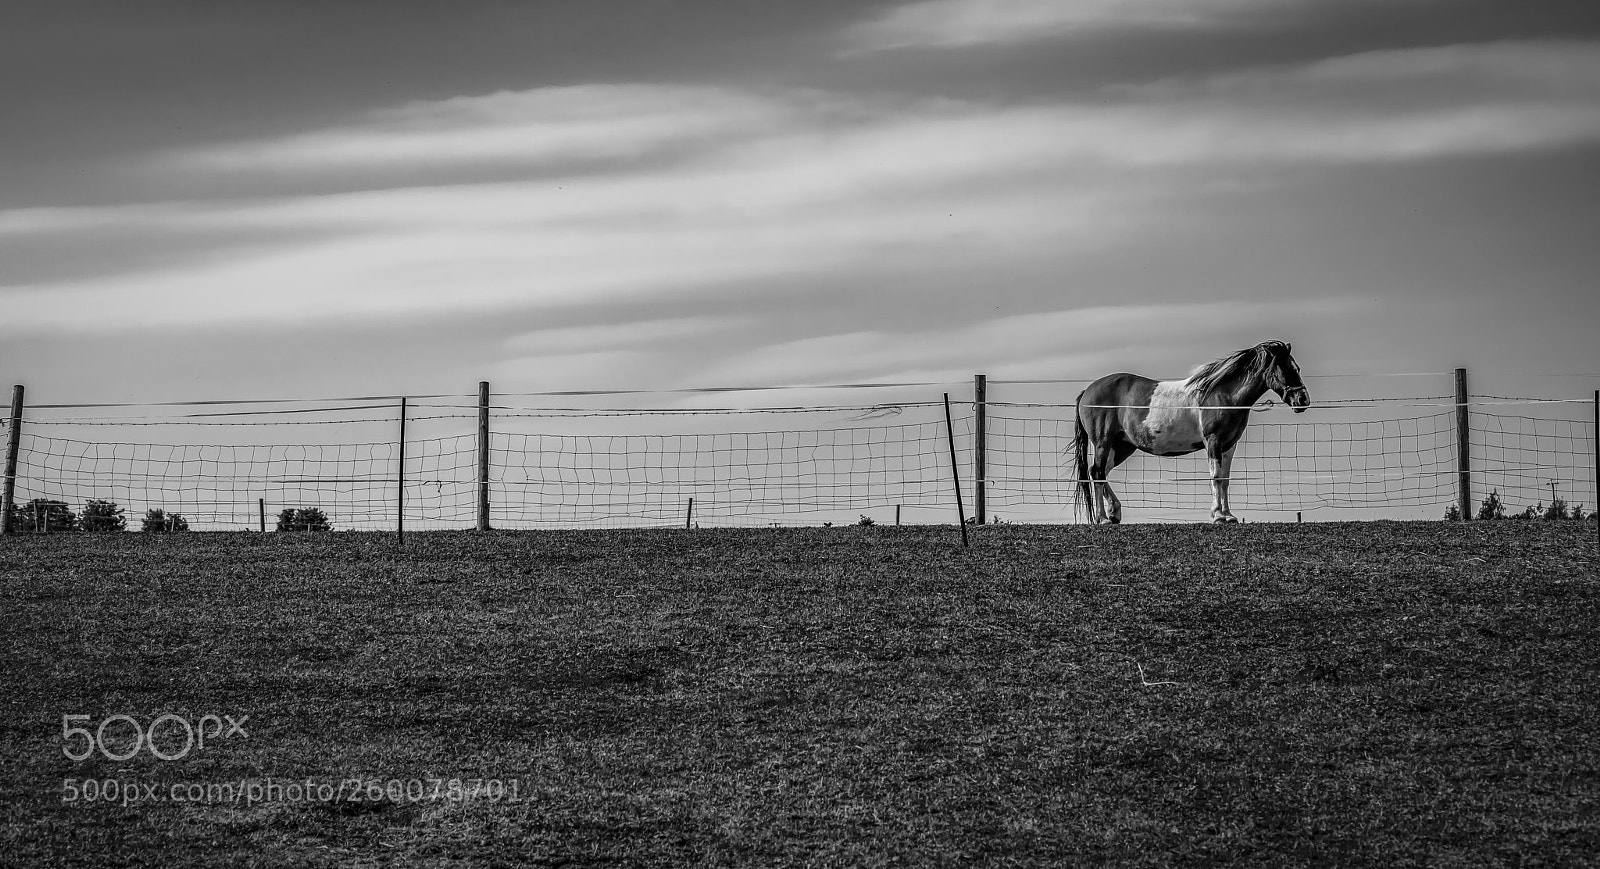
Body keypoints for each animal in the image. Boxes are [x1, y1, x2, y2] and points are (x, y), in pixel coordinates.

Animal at [1073, 340, 1310, 524]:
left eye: (1297, 368)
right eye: (1286, 369)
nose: (1303, 400)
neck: (1221, 394)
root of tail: (1088, 391)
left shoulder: (1229, 445)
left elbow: (1225, 478)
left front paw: (1229, 516)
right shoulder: (1213, 441)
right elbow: (1216, 476)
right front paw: (1217, 516)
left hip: (1122, 446)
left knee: (1099, 472)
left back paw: (1114, 512)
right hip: (1103, 442)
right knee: (1098, 473)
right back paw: (1103, 518)